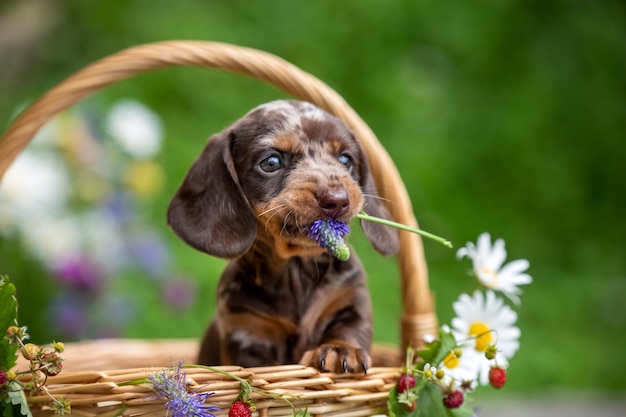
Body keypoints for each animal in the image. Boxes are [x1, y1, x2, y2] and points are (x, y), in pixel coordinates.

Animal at [168, 99, 398, 372]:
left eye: (345, 158)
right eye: (271, 162)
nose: (337, 200)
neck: (296, 269)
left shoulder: (352, 301)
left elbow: (349, 329)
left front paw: (339, 349)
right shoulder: (246, 334)